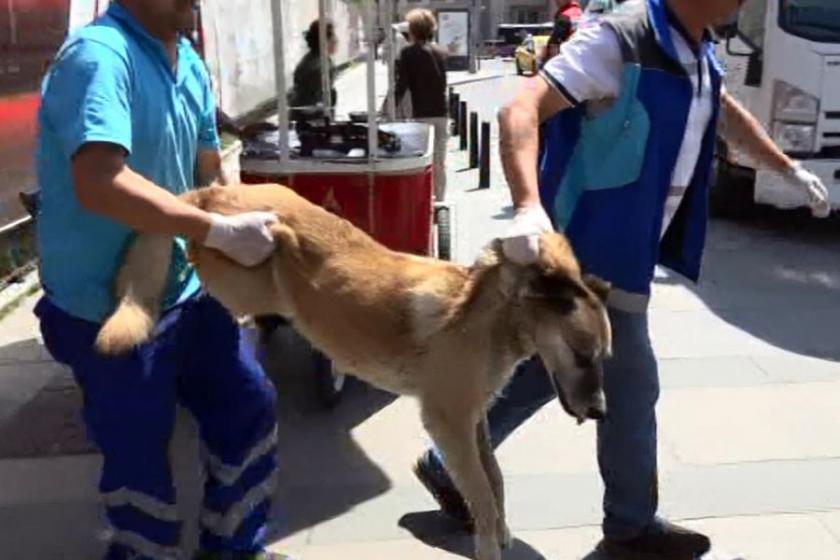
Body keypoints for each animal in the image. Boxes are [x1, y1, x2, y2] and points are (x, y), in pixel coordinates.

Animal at [95, 184, 612, 560]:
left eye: (601, 357)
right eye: (582, 354)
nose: (601, 413)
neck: (494, 314)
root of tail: (215, 191)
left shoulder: (474, 421)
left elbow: (496, 478)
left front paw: (499, 530)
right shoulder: (450, 424)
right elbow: (482, 493)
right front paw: (488, 542)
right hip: (244, 279)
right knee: (203, 243)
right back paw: (251, 247)